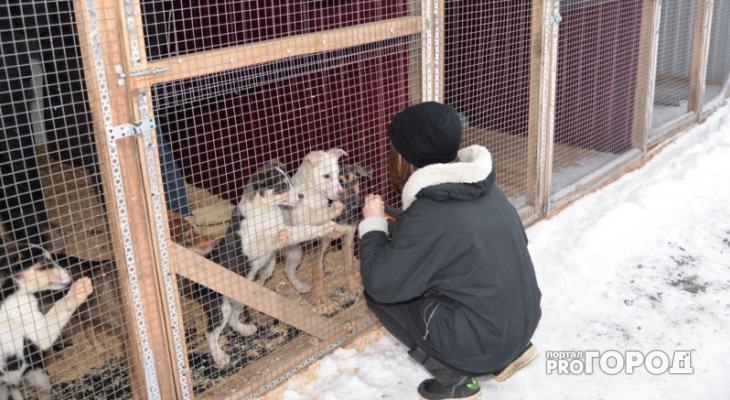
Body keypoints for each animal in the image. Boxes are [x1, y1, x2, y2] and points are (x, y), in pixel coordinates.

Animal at [0, 241, 94, 400]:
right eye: (43, 261)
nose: (69, 273)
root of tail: (14, 382)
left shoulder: (39, 331)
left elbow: (60, 305)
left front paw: (78, 290)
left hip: (38, 376)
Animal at [200, 161, 340, 368]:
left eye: (290, 180)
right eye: (282, 185)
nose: (301, 196)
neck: (267, 211)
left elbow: (305, 228)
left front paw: (330, 221)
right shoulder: (252, 245)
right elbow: (286, 234)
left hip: (239, 298)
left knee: (233, 319)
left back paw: (245, 329)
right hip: (220, 306)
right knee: (210, 333)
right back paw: (220, 356)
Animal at [280, 148, 346, 302]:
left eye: (337, 175)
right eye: (326, 176)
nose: (341, 194)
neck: (313, 194)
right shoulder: (301, 219)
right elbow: (317, 216)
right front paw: (332, 211)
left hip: (295, 253)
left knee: (288, 270)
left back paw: (300, 287)